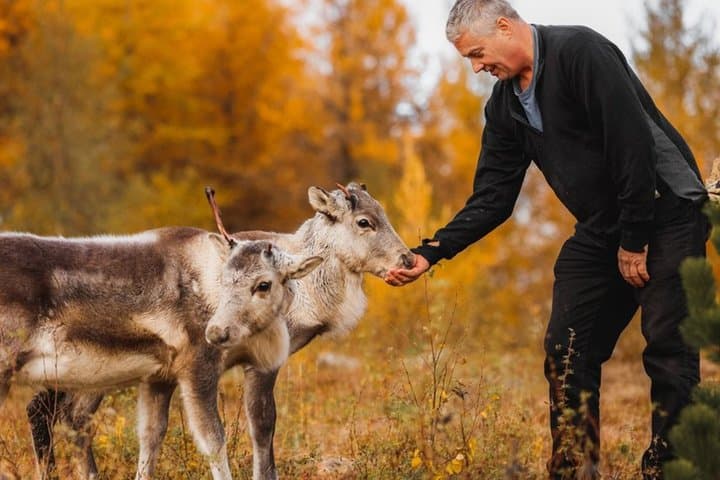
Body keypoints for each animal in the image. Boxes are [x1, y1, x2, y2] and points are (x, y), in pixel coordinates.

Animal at [28, 182, 414, 479]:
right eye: (364, 221)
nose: (408, 259)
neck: (306, 293)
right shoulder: (258, 364)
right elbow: (262, 425)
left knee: (54, 411)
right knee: (62, 413)